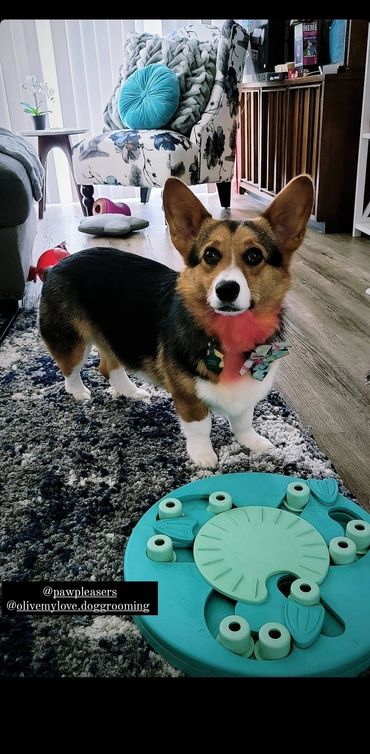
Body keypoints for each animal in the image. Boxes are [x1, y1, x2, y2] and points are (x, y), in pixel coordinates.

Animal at [39, 176, 312, 468]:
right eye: (210, 255)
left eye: (254, 255)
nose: (226, 290)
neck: (230, 333)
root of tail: (57, 265)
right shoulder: (188, 397)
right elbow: (200, 426)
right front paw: (204, 457)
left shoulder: (245, 394)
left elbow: (243, 421)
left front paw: (254, 442)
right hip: (73, 342)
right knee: (70, 370)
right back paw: (79, 393)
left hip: (116, 336)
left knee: (108, 366)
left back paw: (131, 391)